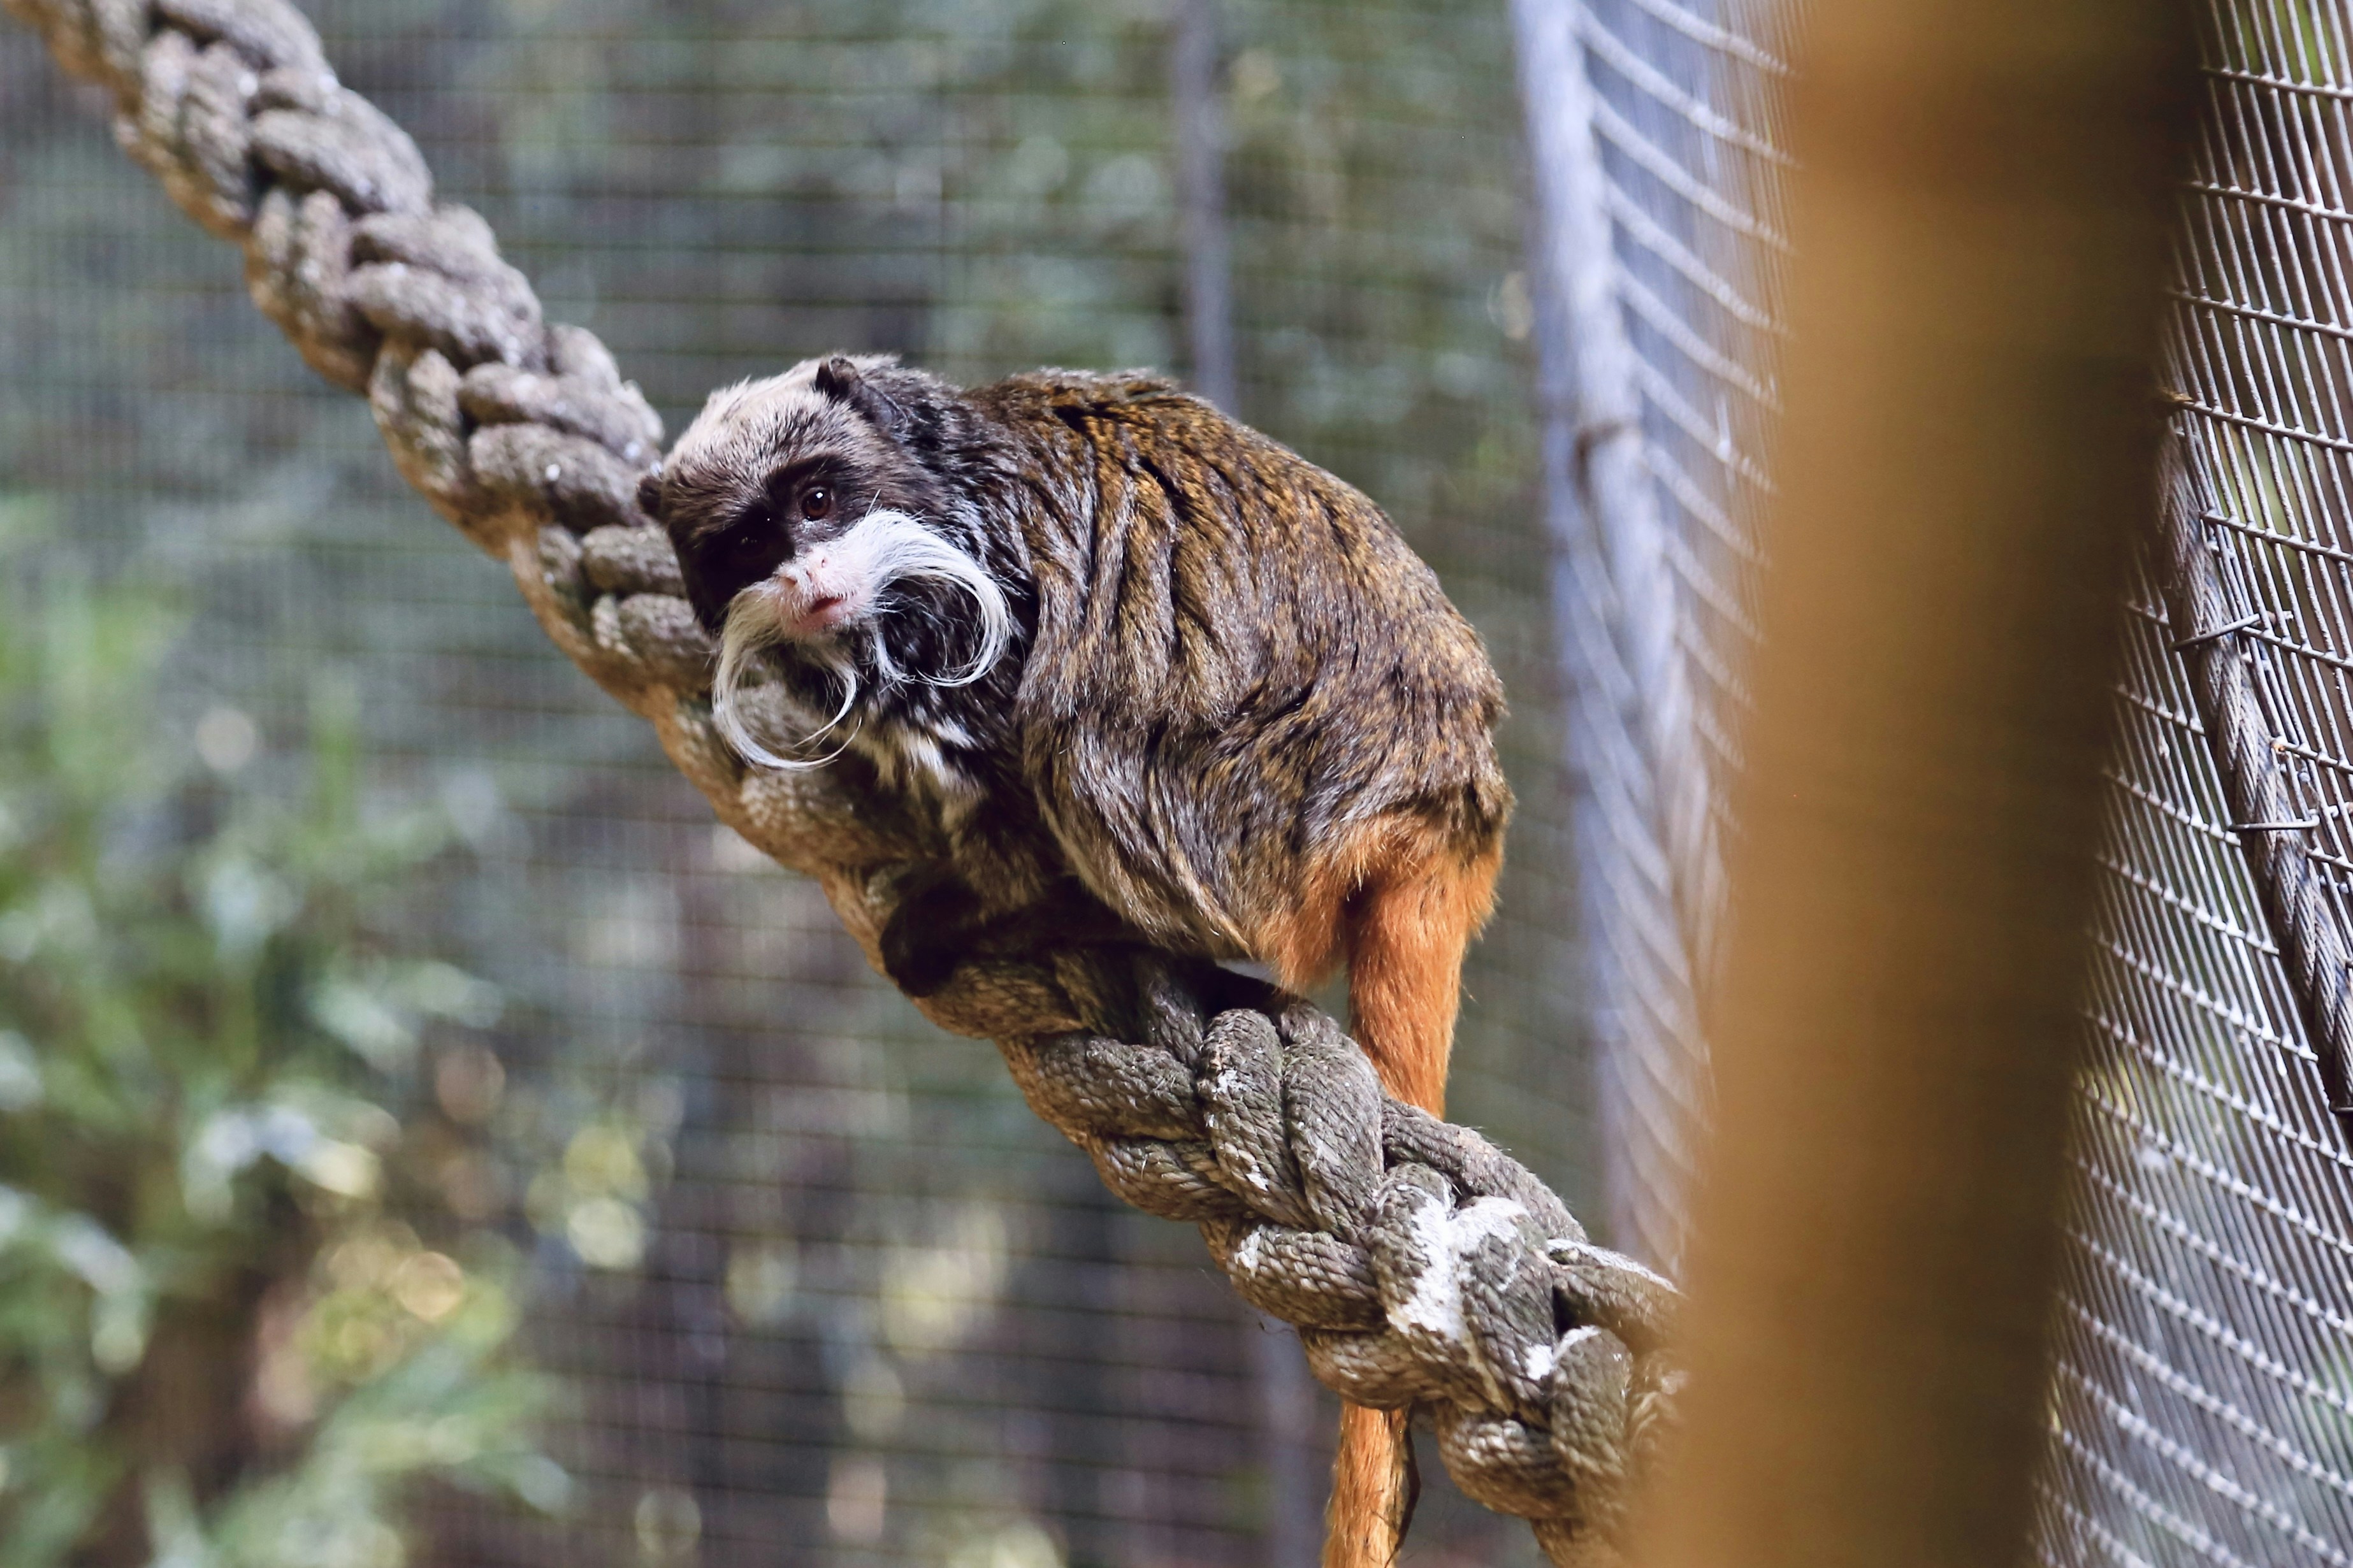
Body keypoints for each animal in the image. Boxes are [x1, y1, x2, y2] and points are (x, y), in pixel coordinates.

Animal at [640, 354, 1510, 1568]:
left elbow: (1008, 749)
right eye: (748, 542)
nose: (809, 580)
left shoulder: (967, 605)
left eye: (817, 499)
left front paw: (971, 901)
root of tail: (1440, 798)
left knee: (1084, 725)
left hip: (1246, 817)